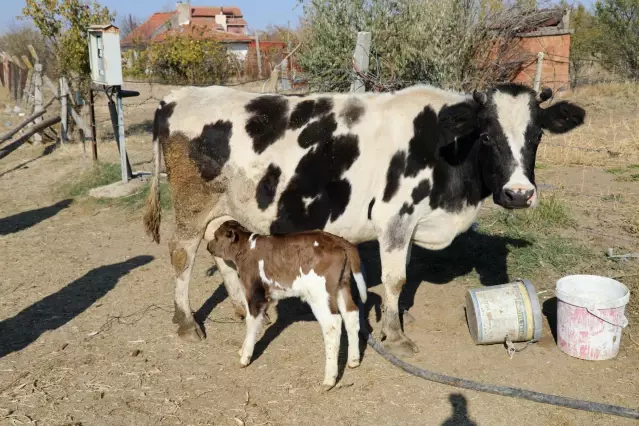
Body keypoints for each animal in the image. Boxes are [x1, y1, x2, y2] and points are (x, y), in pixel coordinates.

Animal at [144, 83, 584, 356]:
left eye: (537, 136)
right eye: (488, 135)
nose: (519, 193)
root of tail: (177, 97)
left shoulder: (407, 226)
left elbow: (400, 276)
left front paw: (393, 319)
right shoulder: (396, 216)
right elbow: (395, 278)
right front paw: (396, 334)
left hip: (222, 205)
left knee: (218, 248)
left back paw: (242, 307)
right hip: (192, 202)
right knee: (182, 252)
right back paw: (186, 322)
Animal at [208, 221, 368, 388]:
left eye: (216, 236)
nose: (208, 246)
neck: (246, 248)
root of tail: (338, 240)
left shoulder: (255, 294)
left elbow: (251, 322)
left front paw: (245, 357)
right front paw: (242, 349)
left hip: (319, 294)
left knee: (332, 324)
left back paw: (329, 379)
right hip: (342, 285)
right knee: (351, 314)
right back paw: (353, 360)